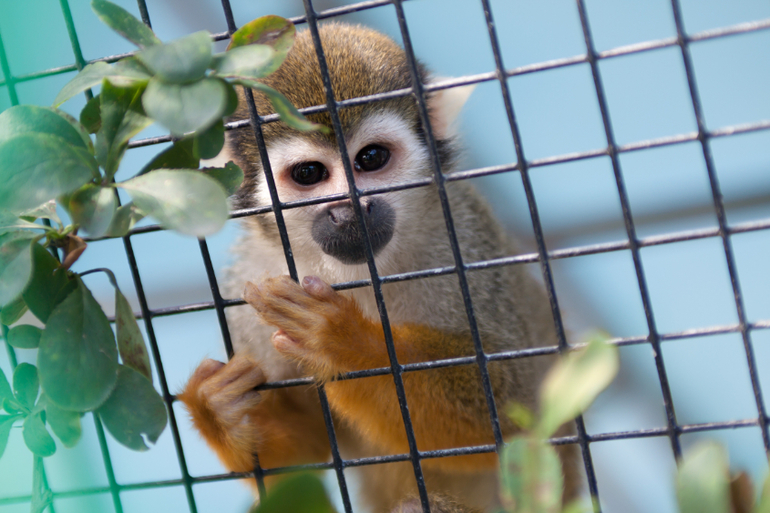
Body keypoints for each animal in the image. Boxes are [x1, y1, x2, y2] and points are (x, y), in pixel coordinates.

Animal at [178, 23, 576, 512]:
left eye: (371, 159)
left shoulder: (469, 243)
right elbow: (301, 460)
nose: (350, 210)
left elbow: (518, 415)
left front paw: (344, 342)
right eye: (309, 174)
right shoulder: (251, 280)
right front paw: (221, 410)